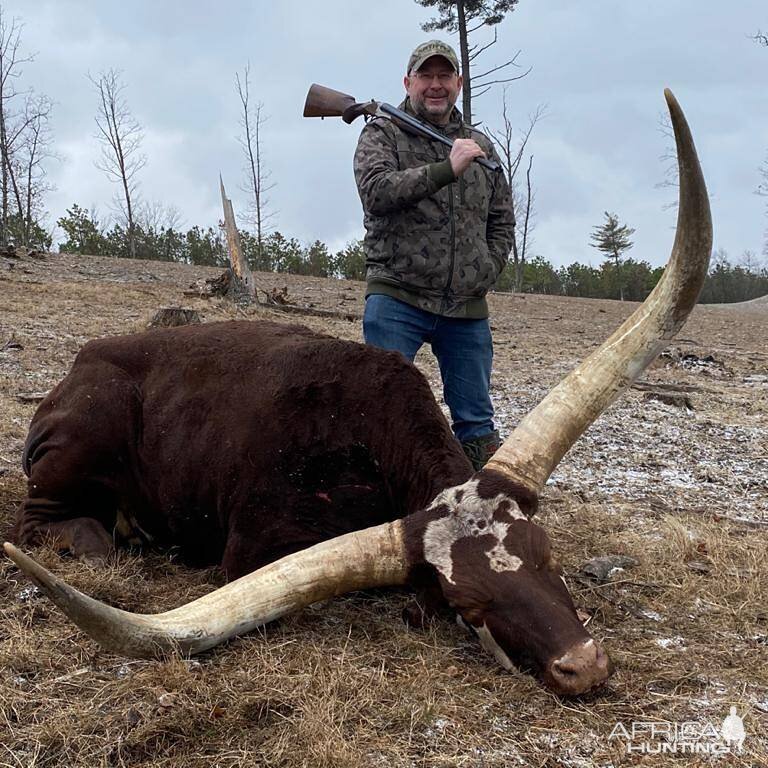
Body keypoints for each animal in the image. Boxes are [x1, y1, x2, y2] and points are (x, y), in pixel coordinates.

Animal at [3, 91, 712, 696]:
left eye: (546, 554)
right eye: (467, 604)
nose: (583, 665)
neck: (364, 433)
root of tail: (78, 365)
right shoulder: (250, 549)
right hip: (84, 440)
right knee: (46, 524)